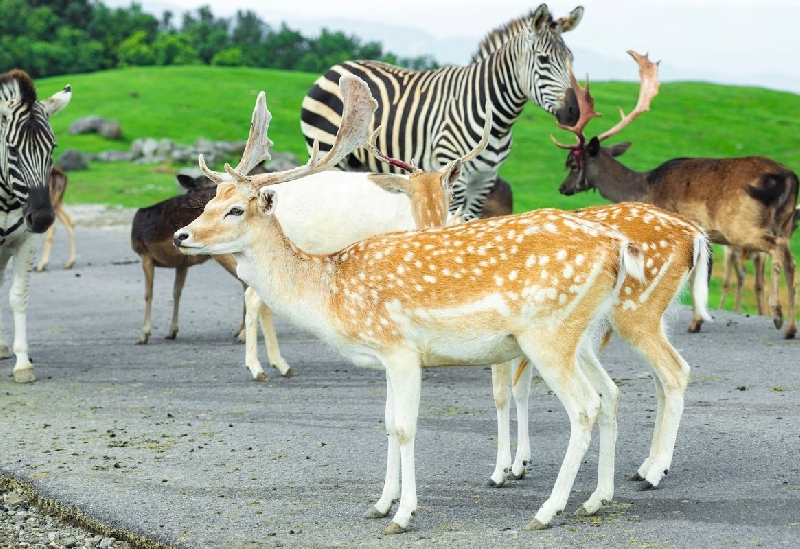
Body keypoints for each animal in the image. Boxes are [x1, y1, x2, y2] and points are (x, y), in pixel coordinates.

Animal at [173, 74, 648, 532]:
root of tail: (616, 248)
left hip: (548, 333)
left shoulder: (401, 348)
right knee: (609, 393)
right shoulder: (386, 355)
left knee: (585, 406)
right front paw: (380, 504)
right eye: (210, 201)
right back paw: (595, 499)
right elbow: (386, 424)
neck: (332, 293)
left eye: (236, 209)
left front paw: (403, 515)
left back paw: (548, 510)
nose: (181, 235)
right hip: (581, 333)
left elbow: (404, 428)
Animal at [300, 2, 580, 220]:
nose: (574, 113)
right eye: (543, 59)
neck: (498, 120)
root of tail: (335, 67)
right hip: (327, 149)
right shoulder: (453, 170)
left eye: (571, 59)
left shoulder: (485, 179)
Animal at [552, 50, 796, 338]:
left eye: (572, 163)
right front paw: (697, 320)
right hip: (786, 223)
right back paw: (791, 327)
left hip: (741, 226)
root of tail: (788, 178)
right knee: (791, 261)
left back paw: (777, 315)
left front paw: (692, 321)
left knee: (777, 250)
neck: (644, 187)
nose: (563, 187)